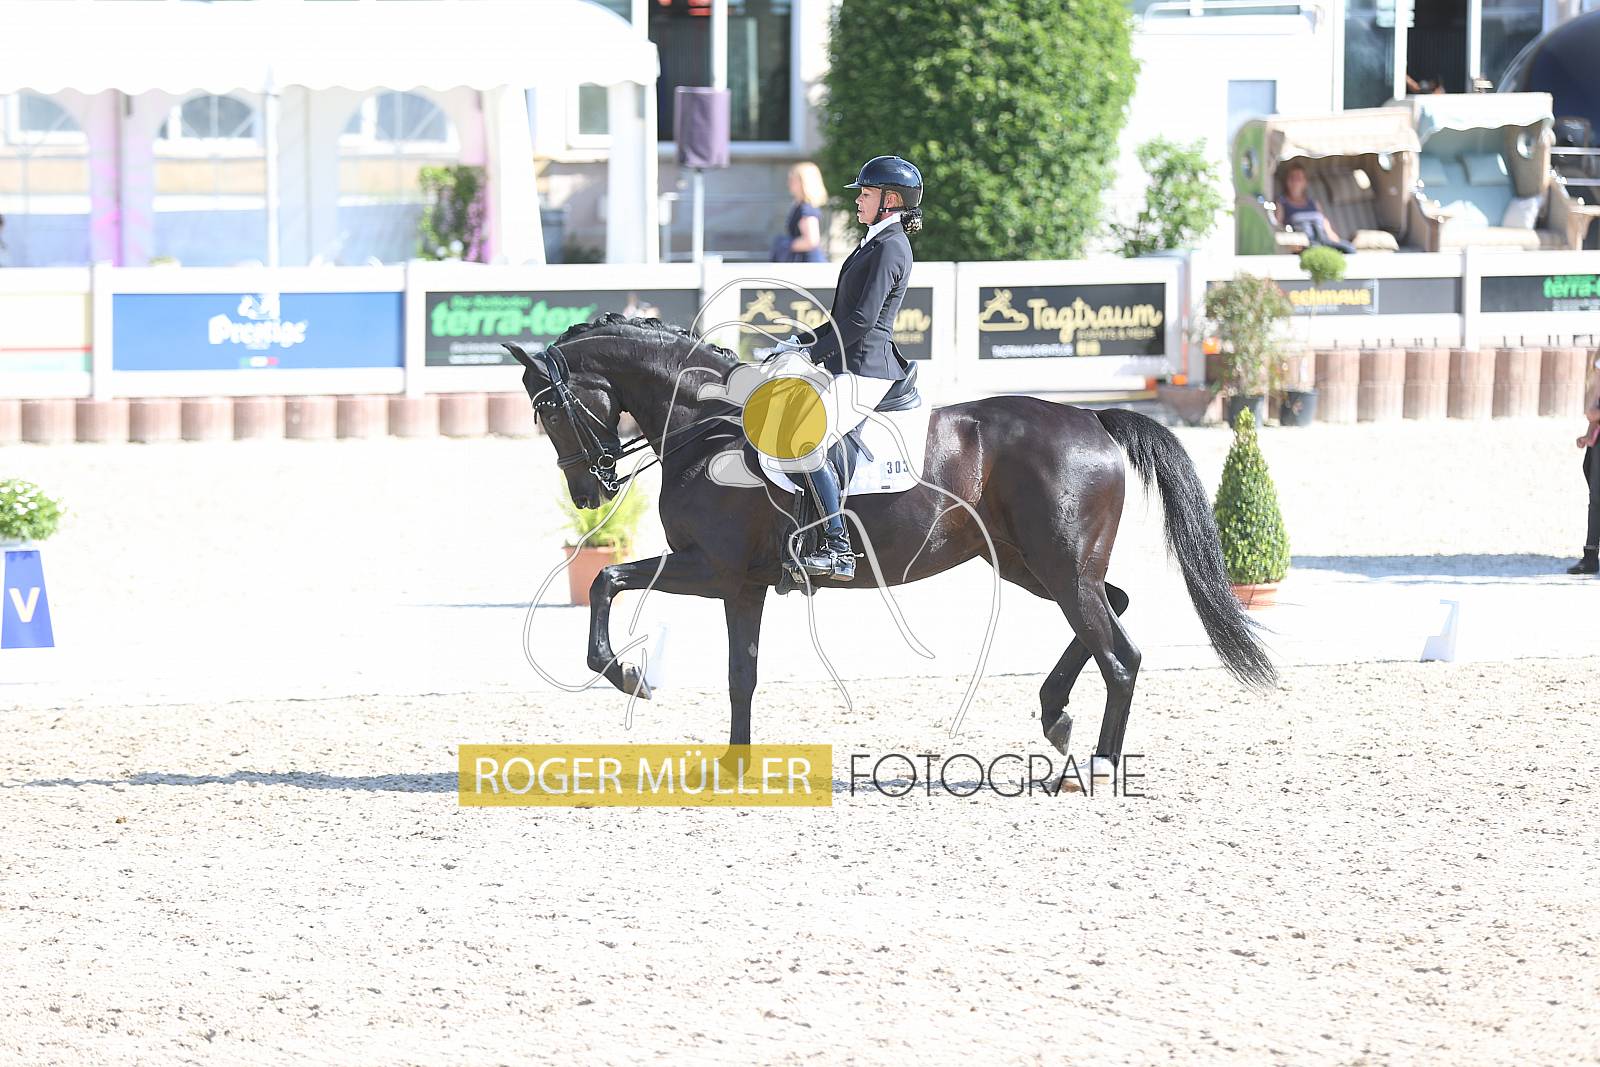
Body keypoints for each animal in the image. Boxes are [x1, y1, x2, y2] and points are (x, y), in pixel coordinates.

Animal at [509, 313, 1274, 764]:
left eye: (549, 409)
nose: (589, 491)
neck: (709, 425)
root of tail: (1093, 418)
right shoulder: (743, 584)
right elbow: (740, 676)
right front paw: (735, 763)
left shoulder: (711, 567)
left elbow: (606, 580)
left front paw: (627, 675)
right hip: (1031, 564)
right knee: (1113, 612)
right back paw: (1056, 715)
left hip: (1057, 568)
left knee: (1119, 657)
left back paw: (1096, 763)